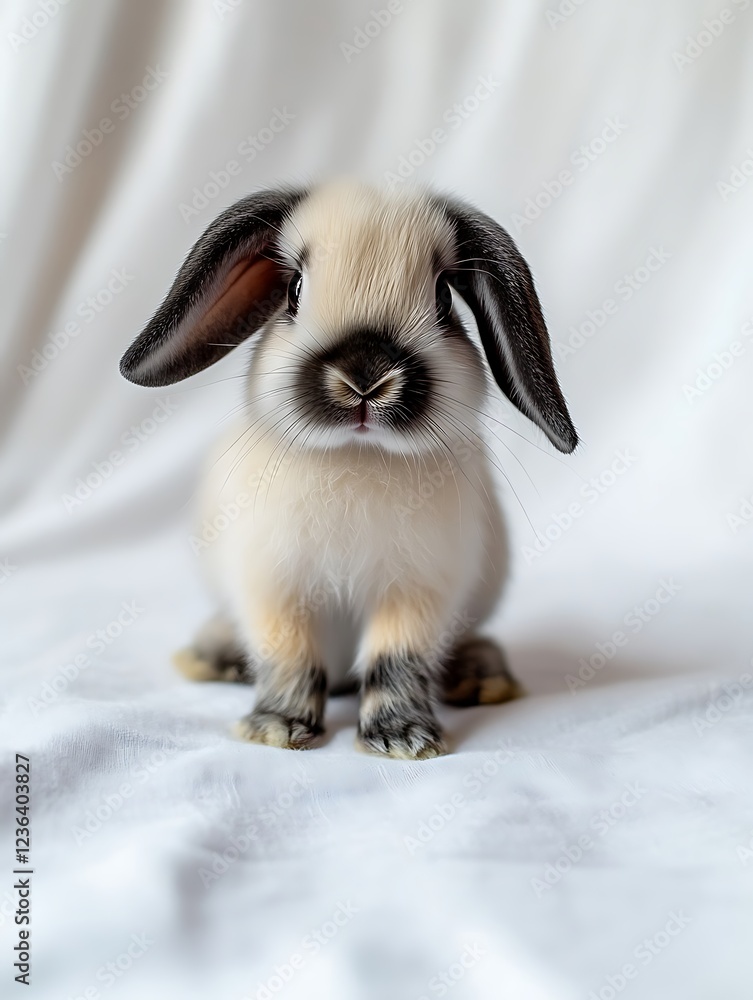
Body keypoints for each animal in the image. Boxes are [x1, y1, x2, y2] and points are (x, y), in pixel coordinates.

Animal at [120, 180, 580, 756]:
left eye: (443, 299)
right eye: (294, 291)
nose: (365, 376)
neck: (358, 456)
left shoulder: (419, 592)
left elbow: (396, 660)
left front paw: (404, 739)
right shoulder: (273, 587)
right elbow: (288, 656)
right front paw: (275, 730)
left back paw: (483, 679)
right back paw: (210, 658)